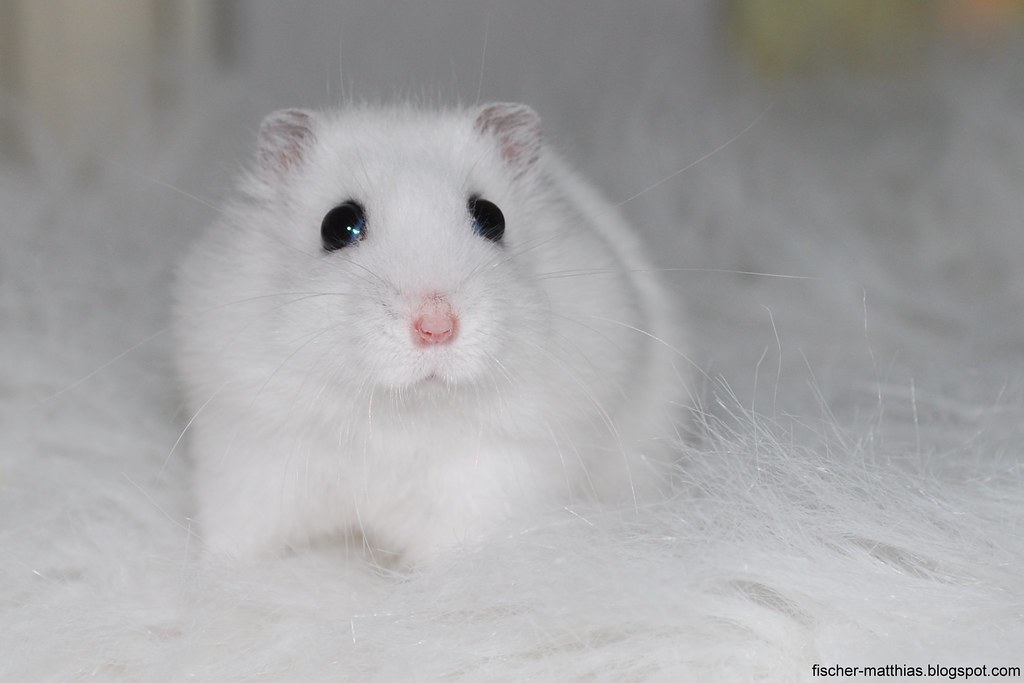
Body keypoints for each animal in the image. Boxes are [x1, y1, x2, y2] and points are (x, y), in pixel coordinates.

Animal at [173, 102, 688, 566]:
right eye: (339, 224)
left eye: (492, 217)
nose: (436, 327)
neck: (405, 412)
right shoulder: (252, 454)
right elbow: (240, 538)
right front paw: (222, 575)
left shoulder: (498, 476)